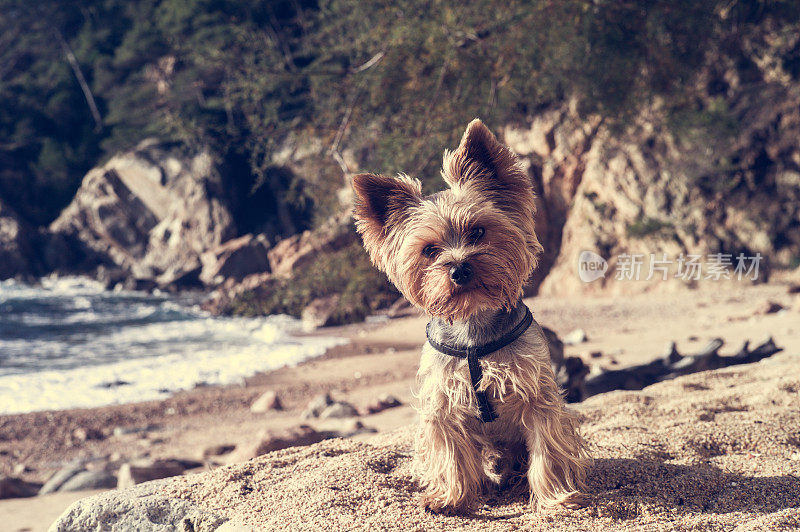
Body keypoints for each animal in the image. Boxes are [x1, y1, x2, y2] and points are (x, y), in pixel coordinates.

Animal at [354, 118, 592, 512]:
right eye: (429, 250)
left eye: (478, 231)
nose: (459, 268)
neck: (473, 326)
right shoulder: (443, 403)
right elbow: (450, 453)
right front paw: (451, 498)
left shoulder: (537, 395)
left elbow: (546, 448)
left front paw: (555, 498)